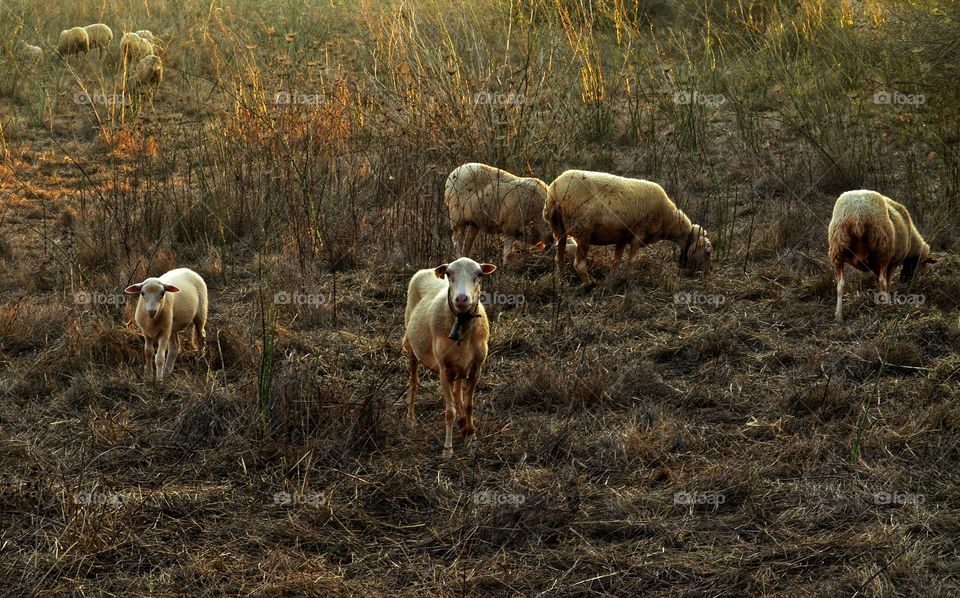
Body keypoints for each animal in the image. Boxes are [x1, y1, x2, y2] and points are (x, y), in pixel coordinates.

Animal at [404, 258, 498, 460]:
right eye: (449, 273)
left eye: (479, 274)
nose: (462, 299)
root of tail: (429, 269)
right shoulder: (443, 369)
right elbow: (449, 412)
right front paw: (447, 449)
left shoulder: (476, 367)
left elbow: (469, 405)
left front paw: (471, 437)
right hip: (410, 346)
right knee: (413, 382)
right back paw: (411, 419)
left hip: (460, 366)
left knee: (457, 393)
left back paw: (463, 425)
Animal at [540, 169, 712, 286]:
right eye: (708, 252)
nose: (704, 276)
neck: (667, 219)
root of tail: (554, 193)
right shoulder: (638, 235)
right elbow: (632, 261)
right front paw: (629, 280)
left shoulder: (621, 236)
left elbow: (616, 261)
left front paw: (612, 279)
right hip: (582, 230)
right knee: (579, 264)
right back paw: (589, 284)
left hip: (559, 229)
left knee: (559, 258)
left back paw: (562, 281)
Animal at [824, 192, 936, 324]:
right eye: (921, 265)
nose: (905, 281)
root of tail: (857, 213)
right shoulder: (893, 262)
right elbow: (887, 282)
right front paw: (886, 300)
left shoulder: (873, 266)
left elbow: (877, 281)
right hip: (881, 252)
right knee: (883, 281)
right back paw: (883, 309)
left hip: (837, 250)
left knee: (840, 284)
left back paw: (838, 315)